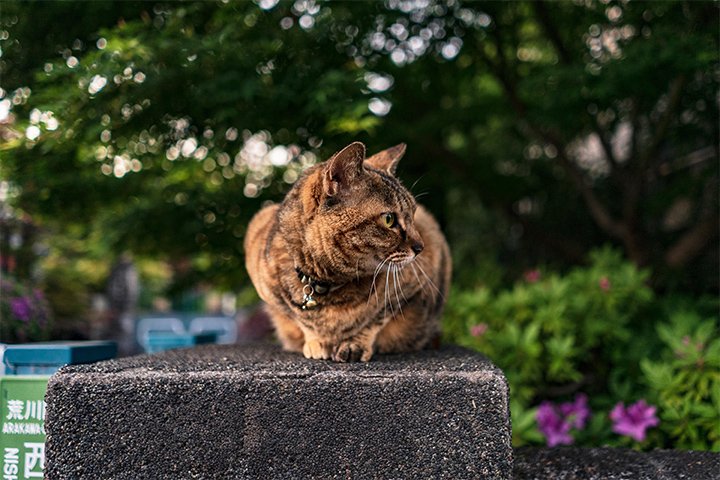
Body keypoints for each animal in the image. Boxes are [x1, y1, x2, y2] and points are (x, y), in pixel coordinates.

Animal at [245, 141, 452, 362]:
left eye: (413, 214)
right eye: (389, 219)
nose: (420, 247)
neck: (328, 284)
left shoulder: (417, 278)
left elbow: (377, 317)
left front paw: (354, 344)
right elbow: (300, 319)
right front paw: (316, 341)